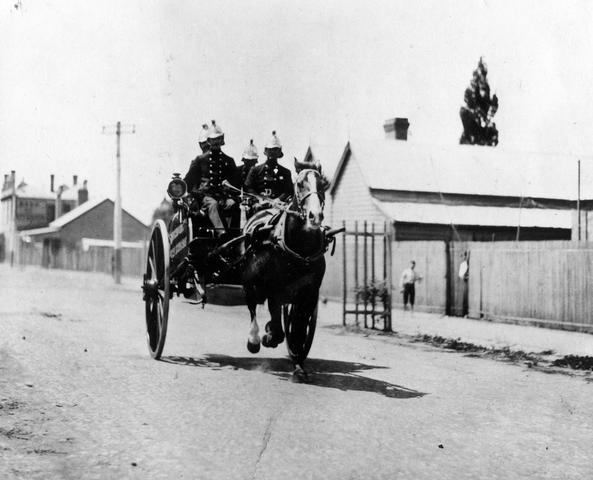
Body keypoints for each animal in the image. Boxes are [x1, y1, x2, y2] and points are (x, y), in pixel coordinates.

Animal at [243, 159, 330, 376]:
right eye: (299, 184)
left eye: (322, 185)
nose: (315, 216)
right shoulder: (274, 289)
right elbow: (276, 322)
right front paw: (269, 336)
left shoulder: (309, 293)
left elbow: (298, 326)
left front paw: (298, 363)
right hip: (250, 281)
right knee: (252, 306)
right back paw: (254, 339)